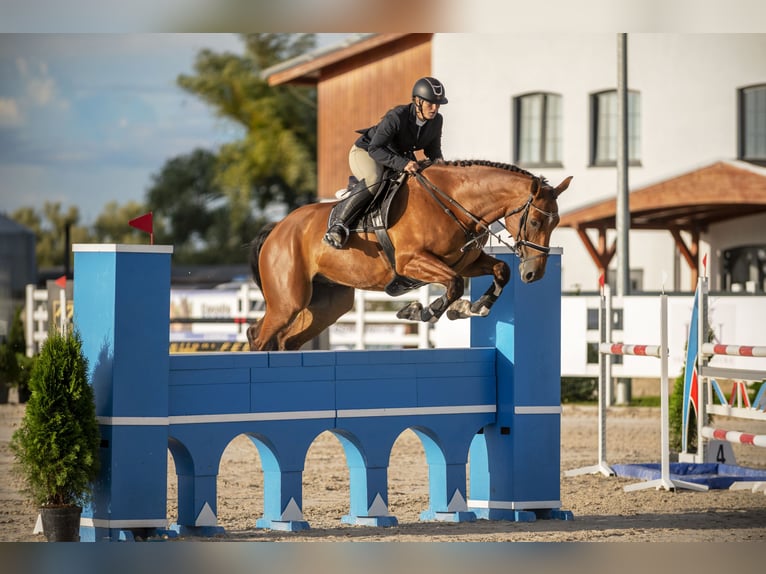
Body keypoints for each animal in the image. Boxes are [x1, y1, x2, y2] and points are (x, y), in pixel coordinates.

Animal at [249, 160, 572, 354]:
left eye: (556, 223)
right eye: (535, 222)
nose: (534, 274)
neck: (453, 204)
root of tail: (277, 228)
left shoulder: (466, 262)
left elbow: (501, 270)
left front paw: (474, 307)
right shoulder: (412, 261)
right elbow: (454, 285)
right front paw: (420, 311)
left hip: (326, 305)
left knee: (284, 340)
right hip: (289, 301)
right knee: (261, 335)